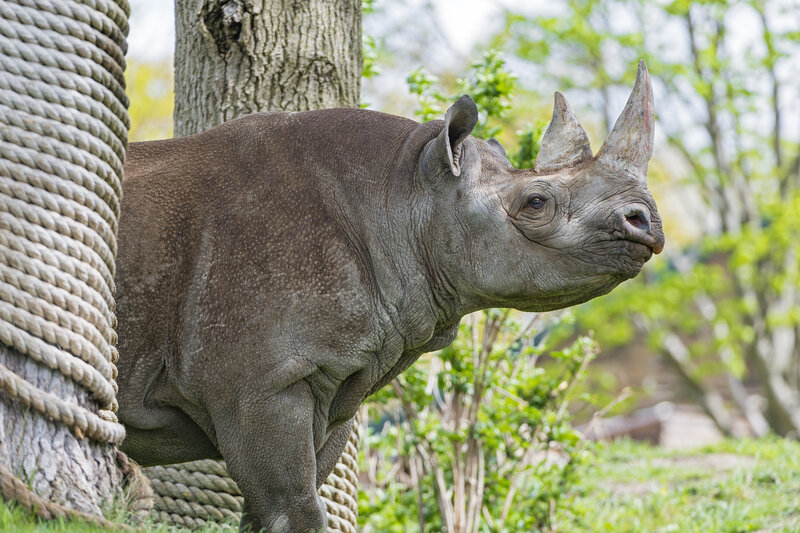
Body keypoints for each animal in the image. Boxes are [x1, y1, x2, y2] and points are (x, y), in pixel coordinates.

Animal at [116, 60, 664, 532]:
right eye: (536, 203)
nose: (647, 222)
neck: (404, 194)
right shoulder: (258, 384)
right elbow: (295, 507)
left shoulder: (329, 376)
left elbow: (285, 501)